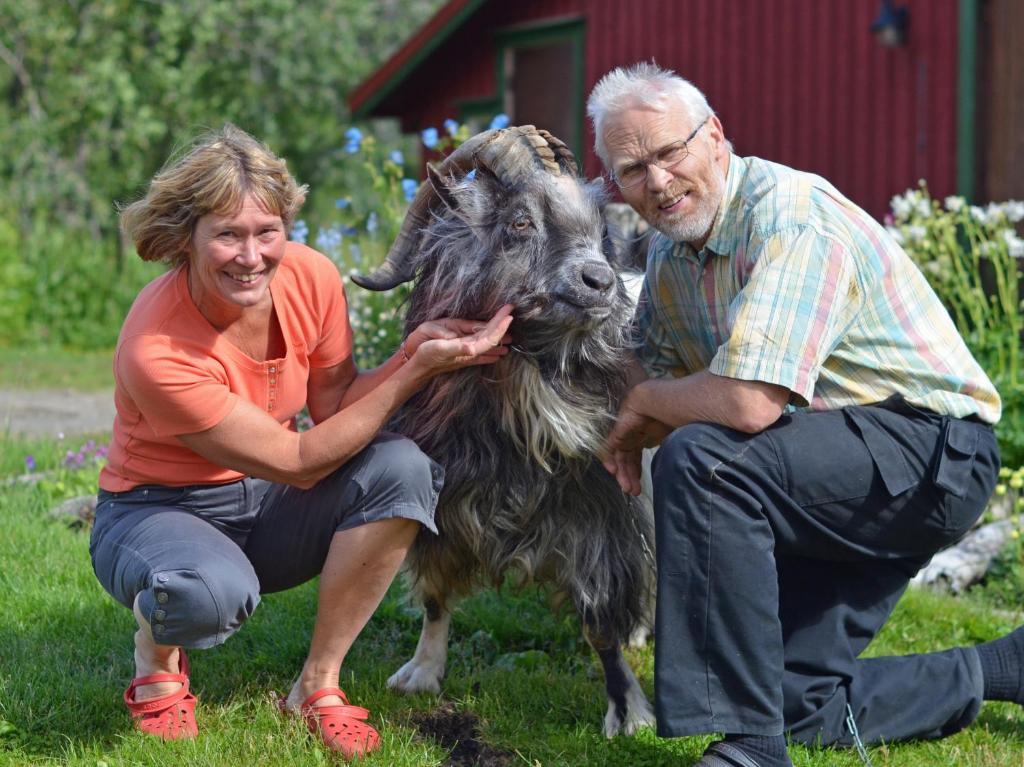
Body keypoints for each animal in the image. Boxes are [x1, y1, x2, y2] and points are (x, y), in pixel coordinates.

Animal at [352, 126, 655, 737]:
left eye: (599, 231)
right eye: (520, 221)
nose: (601, 282)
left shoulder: (604, 514)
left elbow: (601, 619)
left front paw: (627, 712)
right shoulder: (446, 501)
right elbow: (436, 595)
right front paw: (421, 672)